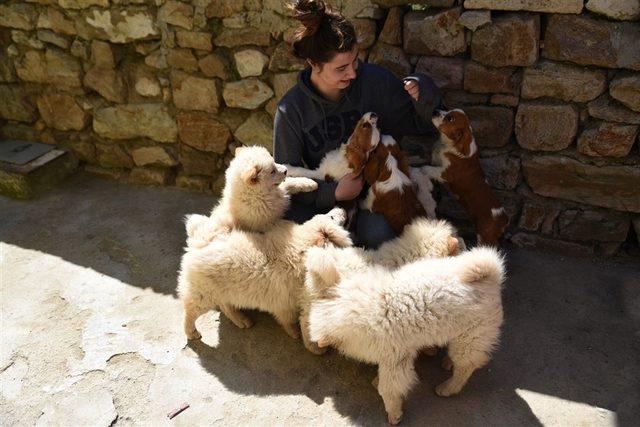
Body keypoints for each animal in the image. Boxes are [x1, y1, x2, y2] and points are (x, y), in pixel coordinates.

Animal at [178, 207, 352, 342]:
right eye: (331, 217)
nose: (342, 207)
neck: (301, 250)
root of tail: (199, 242)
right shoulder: (286, 301)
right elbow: (288, 320)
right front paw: (294, 333)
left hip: (223, 290)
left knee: (226, 306)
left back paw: (241, 320)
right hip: (204, 295)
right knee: (190, 311)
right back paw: (192, 332)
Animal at [184, 145, 316, 249]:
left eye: (274, 162)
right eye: (272, 171)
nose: (286, 170)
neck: (259, 195)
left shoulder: (280, 192)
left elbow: (291, 182)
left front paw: (311, 183)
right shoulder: (266, 223)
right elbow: (281, 224)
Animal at [302, 247, 502, 424]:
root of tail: (491, 275)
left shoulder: (395, 360)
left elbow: (388, 389)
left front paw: (394, 413)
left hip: (471, 337)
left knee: (466, 366)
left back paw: (448, 387)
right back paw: (448, 362)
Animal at [422, 108, 508, 247]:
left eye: (450, 118)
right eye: (447, 110)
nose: (435, 110)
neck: (449, 144)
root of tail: (504, 218)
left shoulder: (446, 173)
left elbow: (428, 169)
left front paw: (421, 170)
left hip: (485, 234)